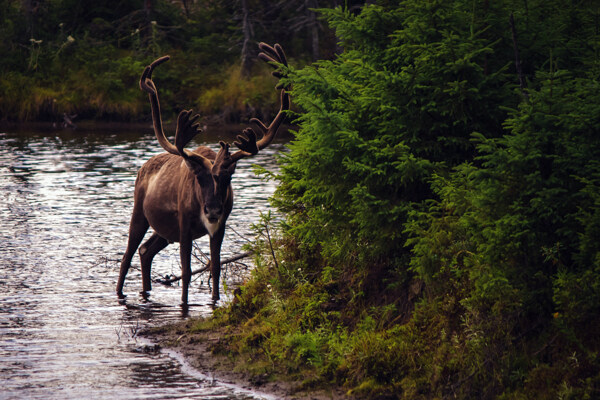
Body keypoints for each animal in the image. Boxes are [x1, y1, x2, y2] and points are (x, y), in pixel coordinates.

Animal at [116, 43, 290, 304]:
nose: (213, 210)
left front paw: (215, 301)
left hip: (164, 230)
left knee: (145, 250)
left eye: (228, 178)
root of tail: (143, 167)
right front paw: (184, 303)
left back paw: (146, 290)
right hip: (140, 212)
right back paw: (120, 292)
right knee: (127, 255)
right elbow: (187, 271)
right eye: (199, 178)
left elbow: (215, 267)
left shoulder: (220, 226)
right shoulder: (185, 225)